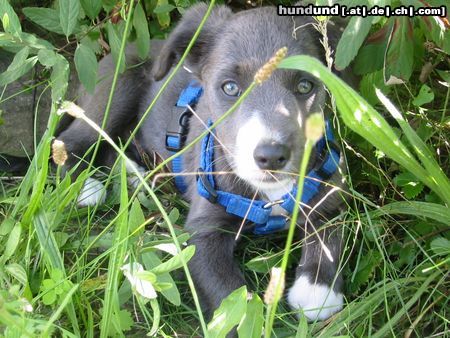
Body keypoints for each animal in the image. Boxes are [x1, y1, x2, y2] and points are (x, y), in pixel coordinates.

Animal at [56, 4, 350, 322]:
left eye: (306, 85)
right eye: (230, 88)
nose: (271, 156)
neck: (270, 197)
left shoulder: (332, 197)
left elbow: (332, 233)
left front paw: (318, 288)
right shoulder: (202, 233)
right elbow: (230, 296)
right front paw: (245, 322)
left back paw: (137, 176)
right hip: (116, 91)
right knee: (70, 140)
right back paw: (86, 187)